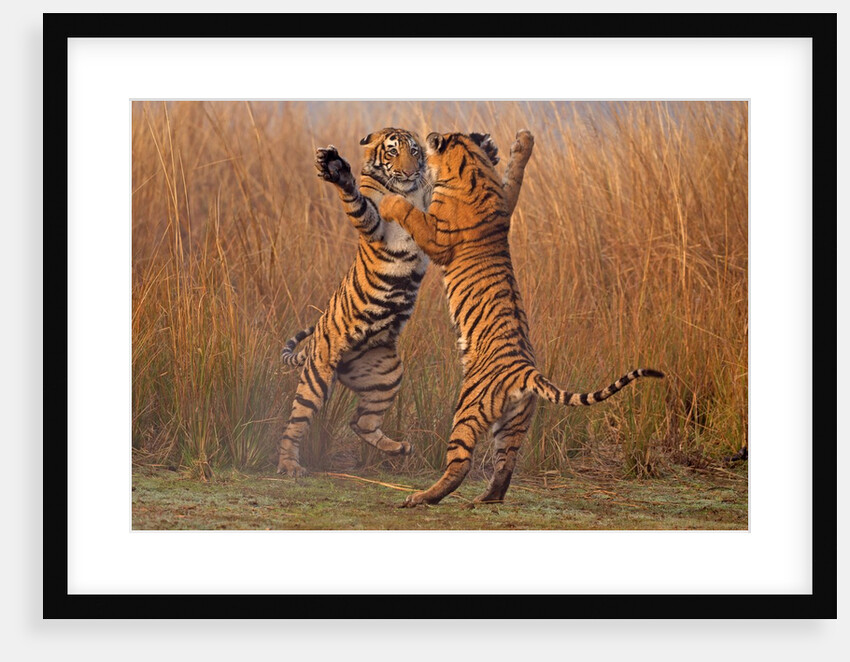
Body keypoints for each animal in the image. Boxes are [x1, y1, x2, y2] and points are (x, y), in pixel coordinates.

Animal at [276, 128, 533, 477]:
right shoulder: (377, 225)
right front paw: (336, 169)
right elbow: (359, 204)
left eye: (414, 151)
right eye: (392, 152)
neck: (406, 190)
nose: (410, 173)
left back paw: (400, 448)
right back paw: (289, 465)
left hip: (387, 375)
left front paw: (488, 148)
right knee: (295, 423)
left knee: (361, 422)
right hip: (318, 375)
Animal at [378, 130, 665, 506]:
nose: (427, 139)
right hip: (513, 424)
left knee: (460, 464)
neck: (472, 169)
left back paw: (421, 497)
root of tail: (526, 371)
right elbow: (515, 175)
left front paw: (388, 202)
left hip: (468, 408)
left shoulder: (437, 236)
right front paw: (521, 142)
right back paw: (484, 499)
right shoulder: (506, 200)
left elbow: (411, 212)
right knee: (505, 467)